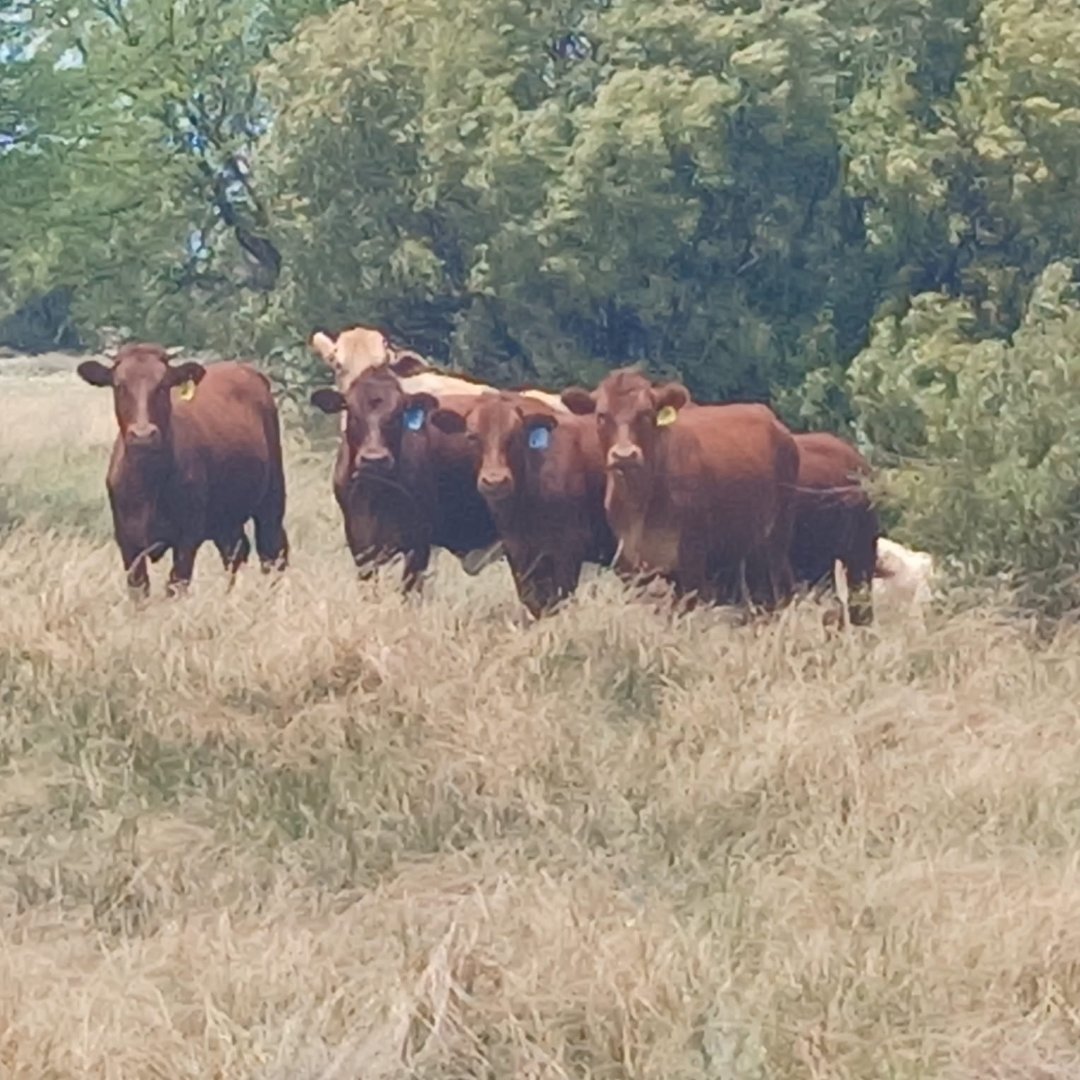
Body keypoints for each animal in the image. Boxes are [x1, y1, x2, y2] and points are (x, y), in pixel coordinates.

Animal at [76, 343, 289, 598]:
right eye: (120, 385)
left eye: (163, 385)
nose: (143, 435)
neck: (149, 483)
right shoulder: (127, 540)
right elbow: (139, 588)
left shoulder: (187, 537)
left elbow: (176, 584)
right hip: (225, 517)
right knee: (236, 552)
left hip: (272, 498)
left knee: (272, 551)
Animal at [309, 363, 497, 591]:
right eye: (352, 412)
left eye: (398, 414)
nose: (374, 459)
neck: (377, 494)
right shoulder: (359, 542)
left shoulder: (419, 542)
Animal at [423, 391, 616, 617]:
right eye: (472, 436)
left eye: (514, 435)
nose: (495, 481)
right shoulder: (520, 552)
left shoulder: (569, 548)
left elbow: (557, 601)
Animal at [560, 369, 800, 611]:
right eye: (601, 415)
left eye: (646, 413)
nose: (624, 455)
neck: (642, 502)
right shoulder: (629, 564)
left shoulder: (691, 560)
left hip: (776, 538)